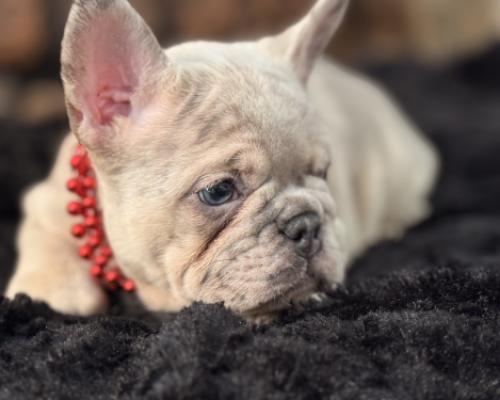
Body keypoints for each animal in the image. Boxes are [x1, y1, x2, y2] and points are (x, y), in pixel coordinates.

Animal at [6, 0, 438, 319]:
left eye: (324, 173)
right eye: (218, 192)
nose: (307, 224)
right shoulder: (45, 202)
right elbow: (46, 241)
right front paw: (49, 289)